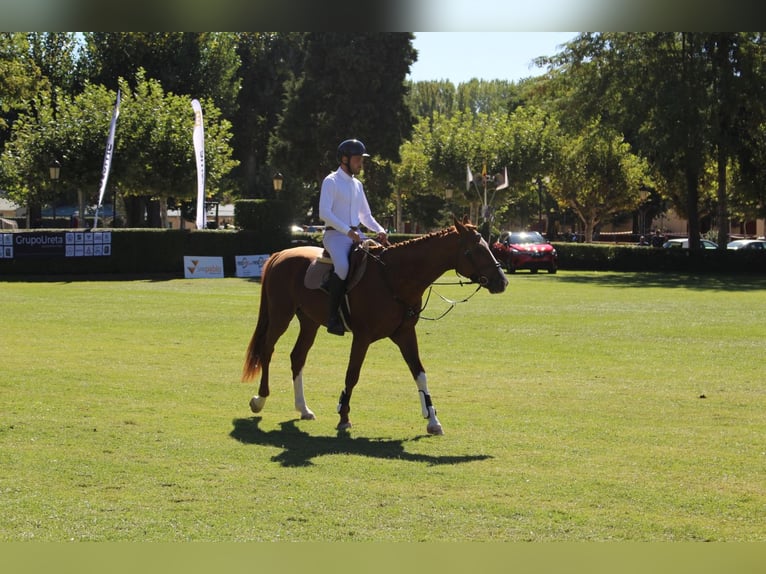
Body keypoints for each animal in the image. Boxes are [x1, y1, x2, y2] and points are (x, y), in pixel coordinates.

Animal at [241, 217, 508, 435]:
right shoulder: (362, 337)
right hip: (281, 315)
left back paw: (303, 408)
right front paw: (343, 416)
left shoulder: (404, 334)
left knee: (297, 356)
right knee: (267, 350)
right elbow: (352, 374)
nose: (502, 281)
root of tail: (281, 254)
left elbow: (420, 373)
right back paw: (259, 399)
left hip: (309, 321)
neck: (394, 278)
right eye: (476, 250)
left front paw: (432, 420)